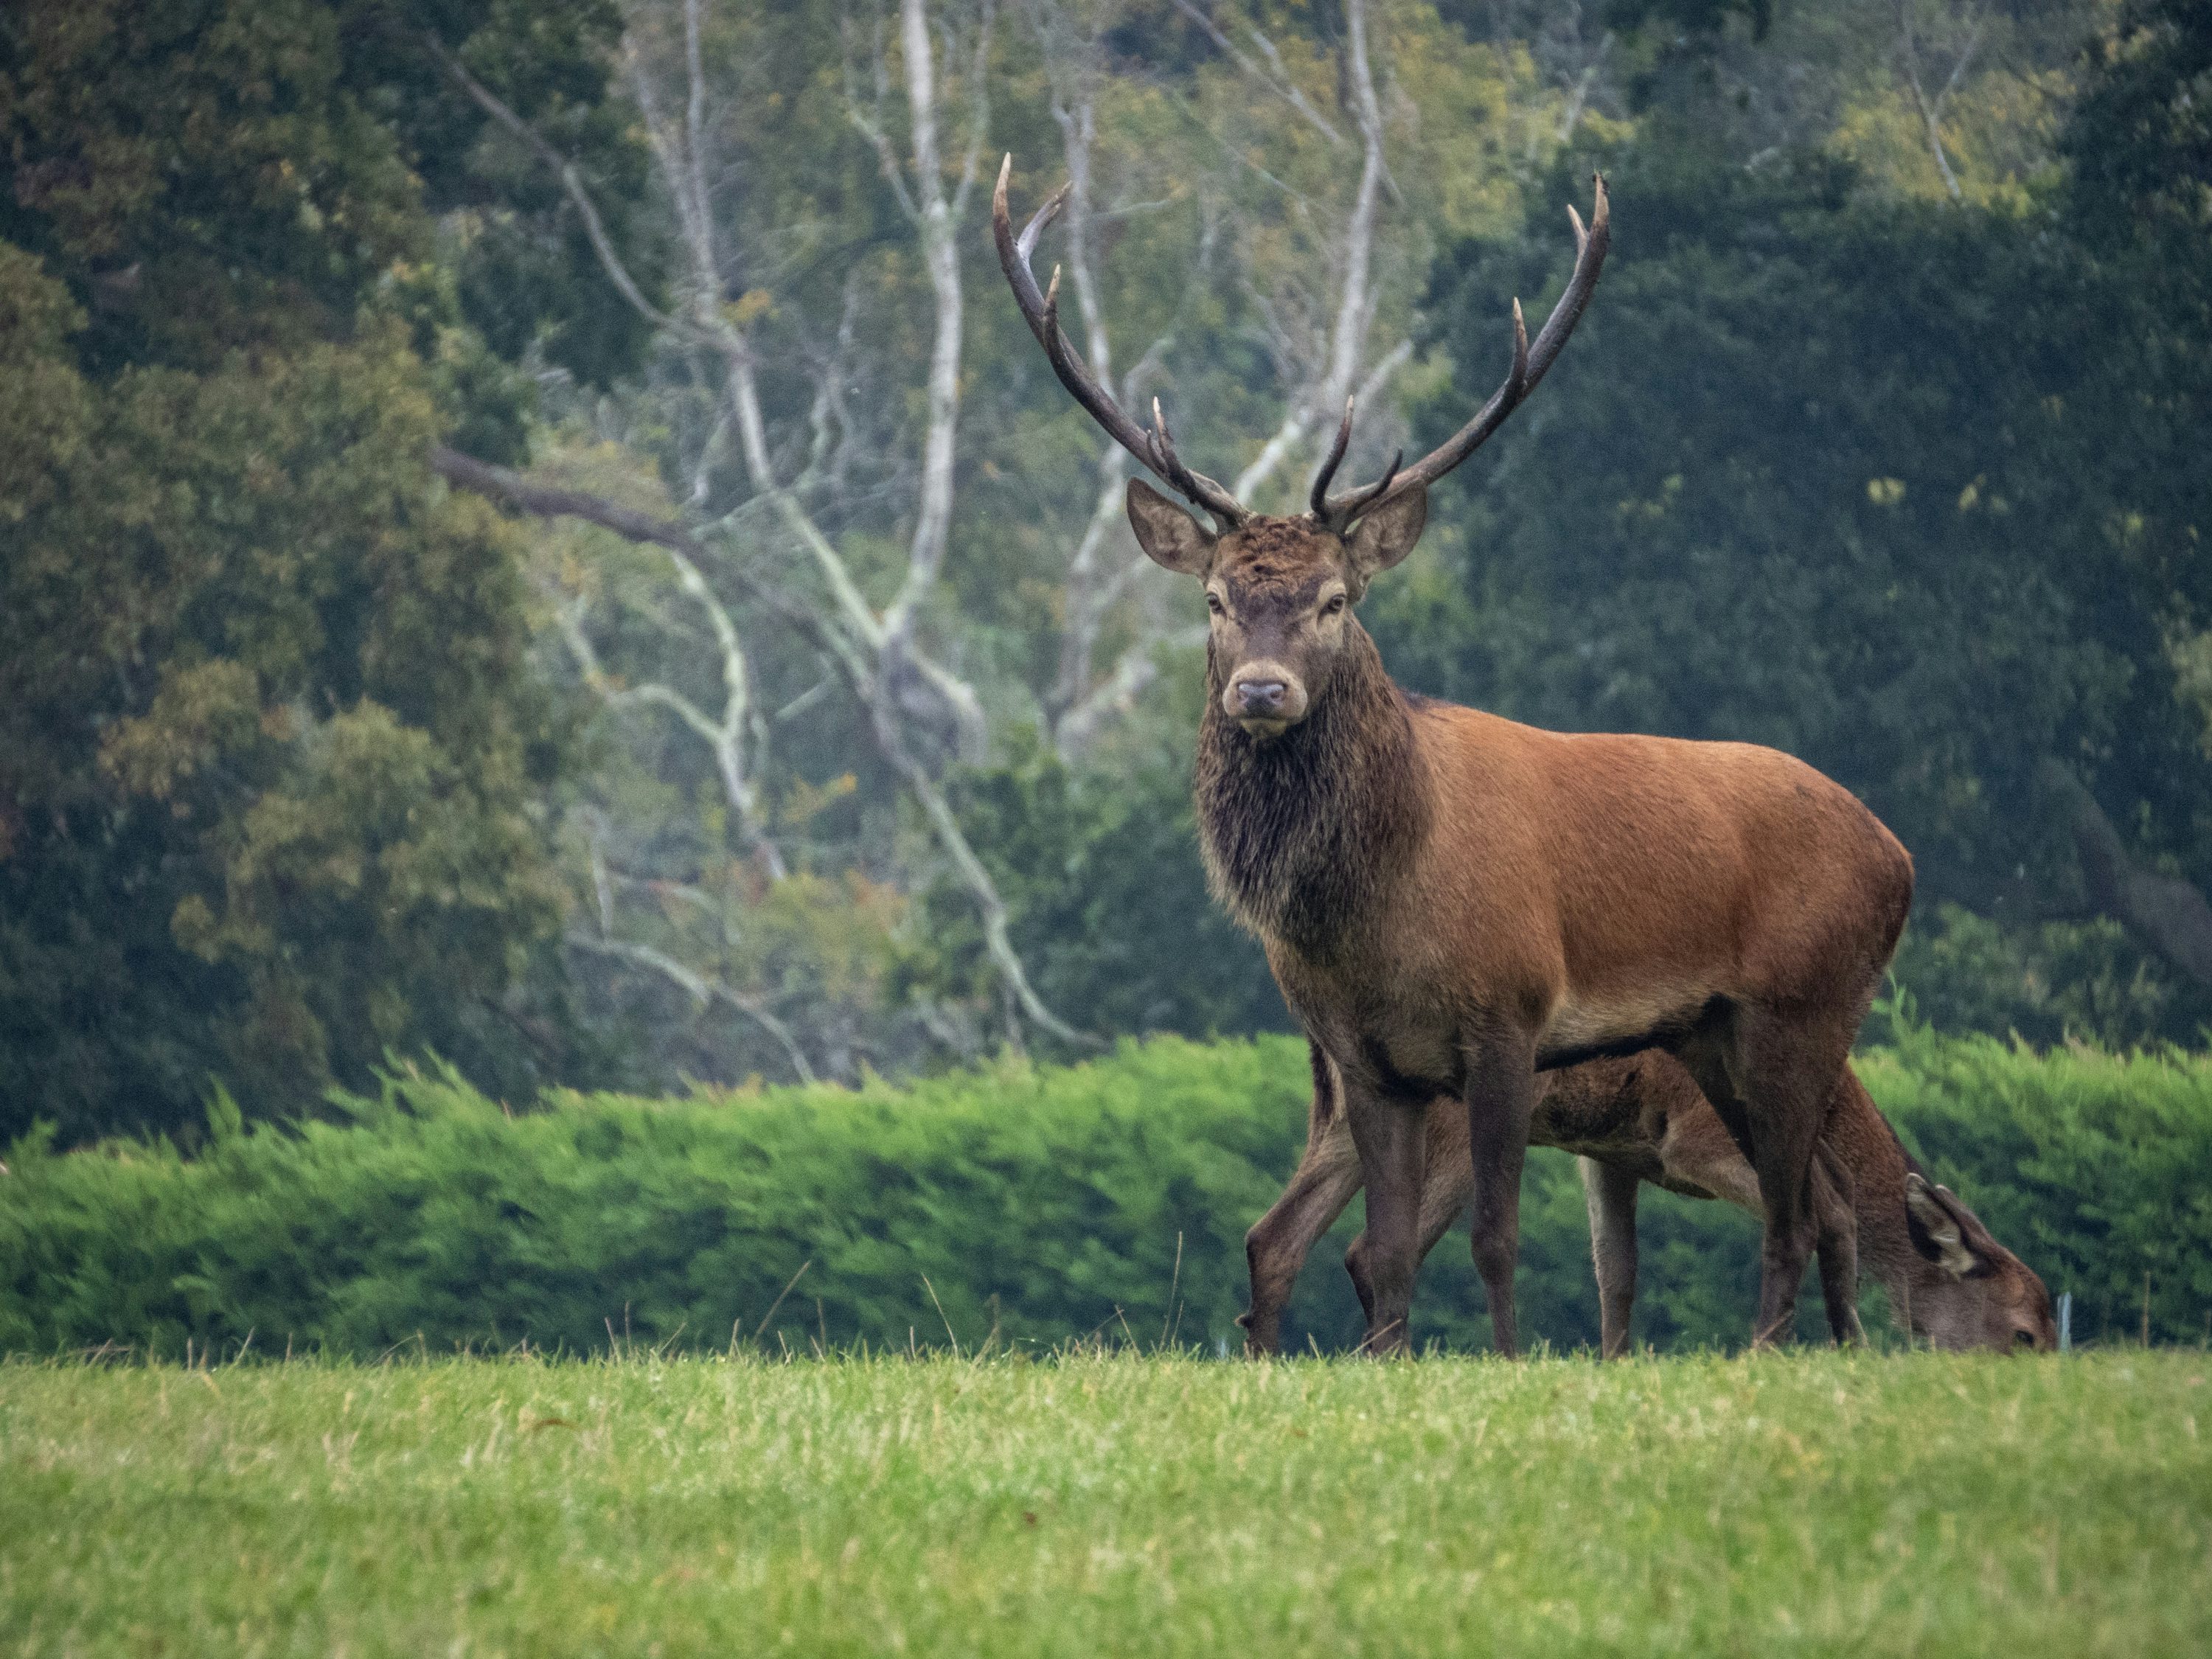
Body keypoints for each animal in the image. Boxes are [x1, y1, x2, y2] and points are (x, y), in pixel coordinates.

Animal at [995, 159, 1911, 1354]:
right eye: (1215, 599)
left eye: (1335, 600)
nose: (1261, 691)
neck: (1377, 910)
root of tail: (1899, 857)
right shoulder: (1367, 1058)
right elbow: (1383, 1256)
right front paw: (1386, 1359)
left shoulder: (1511, 1017)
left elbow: (1496, 1237)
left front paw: (1511, 1362)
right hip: (1717, 1034)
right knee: (1822, 1200)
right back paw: (1834, 1352)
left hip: (1808, 1005)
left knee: (1799, 1209)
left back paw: (1779, 1352)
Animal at [1248, 1044, 2053, 1354]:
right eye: (2023, 1334)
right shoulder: (1692, 1139)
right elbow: (1834, 1205)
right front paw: (1835, 1349)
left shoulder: (1609, 1154)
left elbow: (1618, 1271)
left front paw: (1615, 1365)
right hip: (1446, 1123)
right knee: (1371, 1250)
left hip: (1339, 1120)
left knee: (1274, 1235)